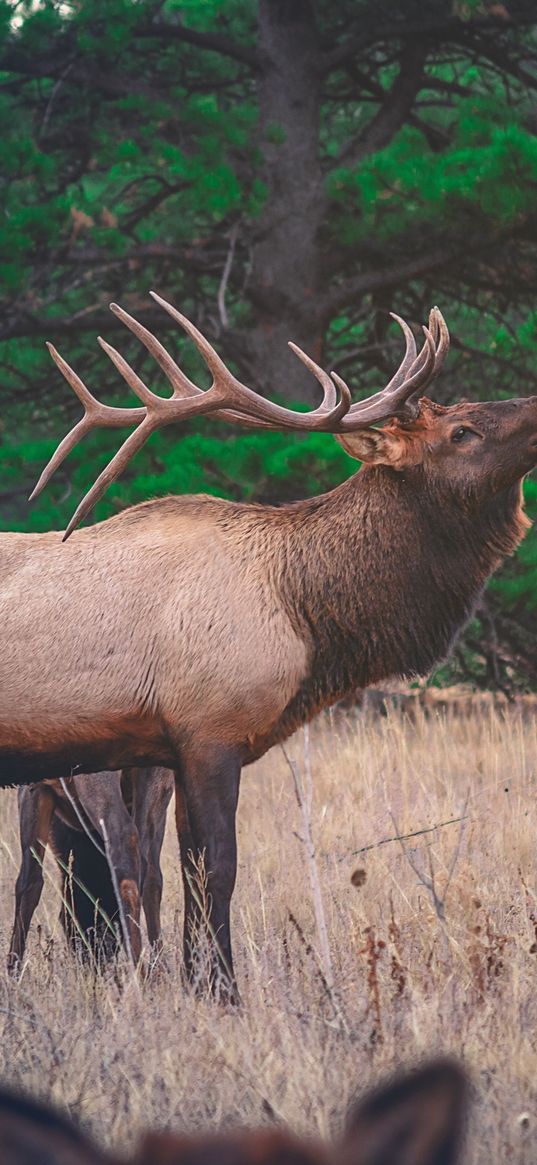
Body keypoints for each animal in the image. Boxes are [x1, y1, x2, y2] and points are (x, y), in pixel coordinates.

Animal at [7, 768, 171, 969]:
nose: (97, 959)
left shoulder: (32, 788)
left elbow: (28, 883)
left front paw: (13, 969)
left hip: (95, 779)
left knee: (124, 837)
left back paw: (138, 969)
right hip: (157, 782)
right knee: (149, 874)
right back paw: (156, 968)